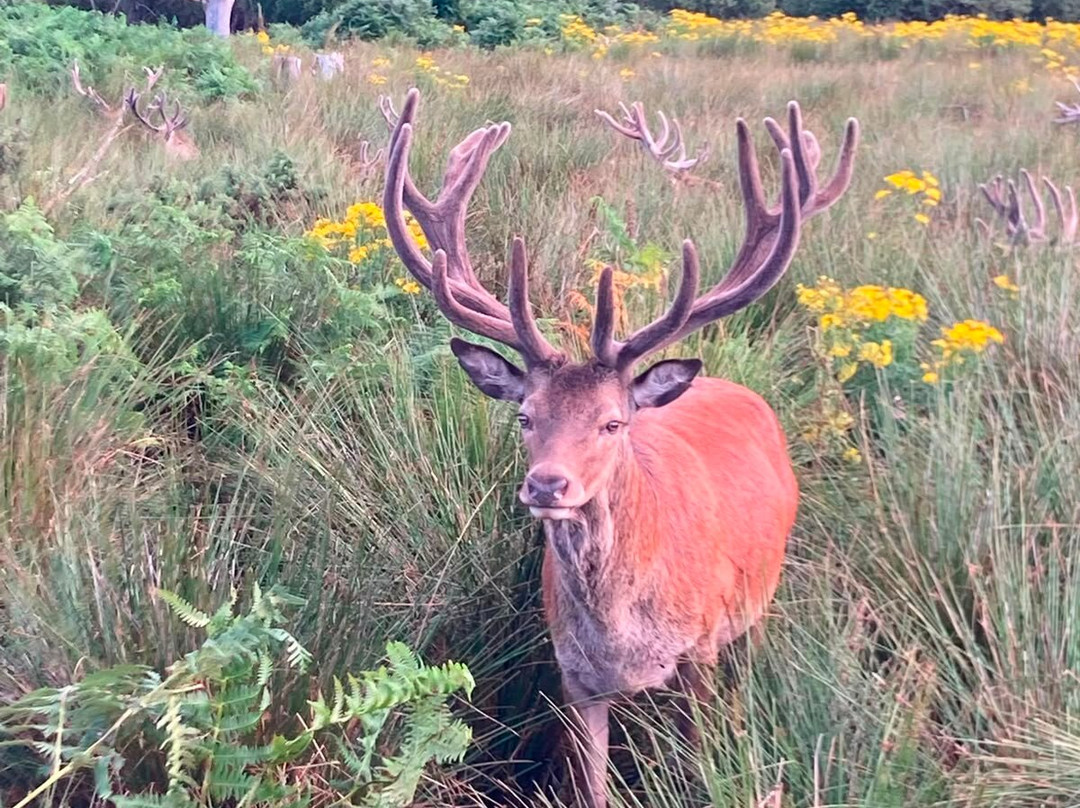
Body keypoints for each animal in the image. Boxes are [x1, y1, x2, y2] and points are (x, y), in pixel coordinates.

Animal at [382, 88, 858, 808]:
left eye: (612, 423)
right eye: (525, 415)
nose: (547, 485)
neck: (622, 639)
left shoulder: (699, 652)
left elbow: (696, 766)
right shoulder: (573, 676)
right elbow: (589, 785)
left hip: (759, 600)